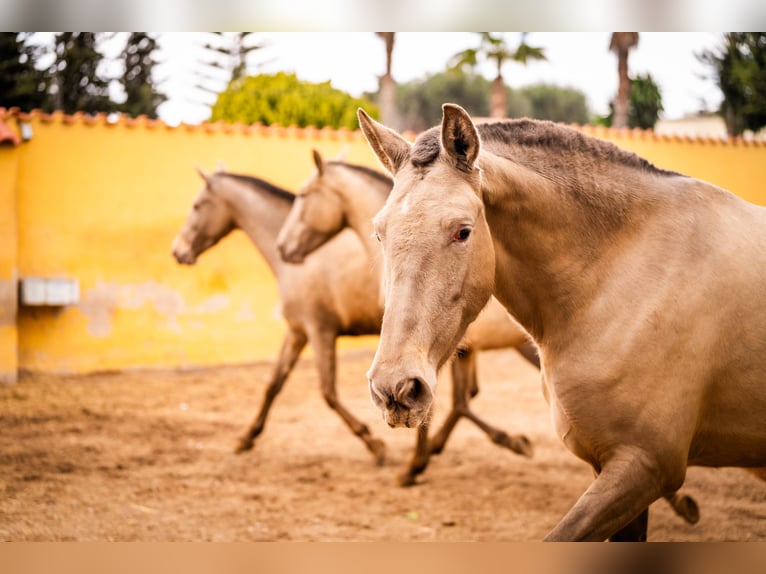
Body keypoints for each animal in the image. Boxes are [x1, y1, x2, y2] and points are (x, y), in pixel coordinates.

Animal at [171, 167, 386, 464]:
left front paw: (373, 442)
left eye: (197, 205)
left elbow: (328, 392)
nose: (177, 251)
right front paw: (246, 438)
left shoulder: (320, 330)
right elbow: (273, 384)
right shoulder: (297, 332)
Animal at [275, 149, 539, 486]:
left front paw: (415, 465)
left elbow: (448, 403)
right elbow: (458, 402)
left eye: (303, 195)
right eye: (379, 234)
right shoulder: (450, 351)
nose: (283, 248)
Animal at [357, 104, 764, 541]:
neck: (617, 279)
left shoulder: (644, 467)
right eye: (379, 234)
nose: (395, 388)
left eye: (463, 231)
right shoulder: (615, 471)